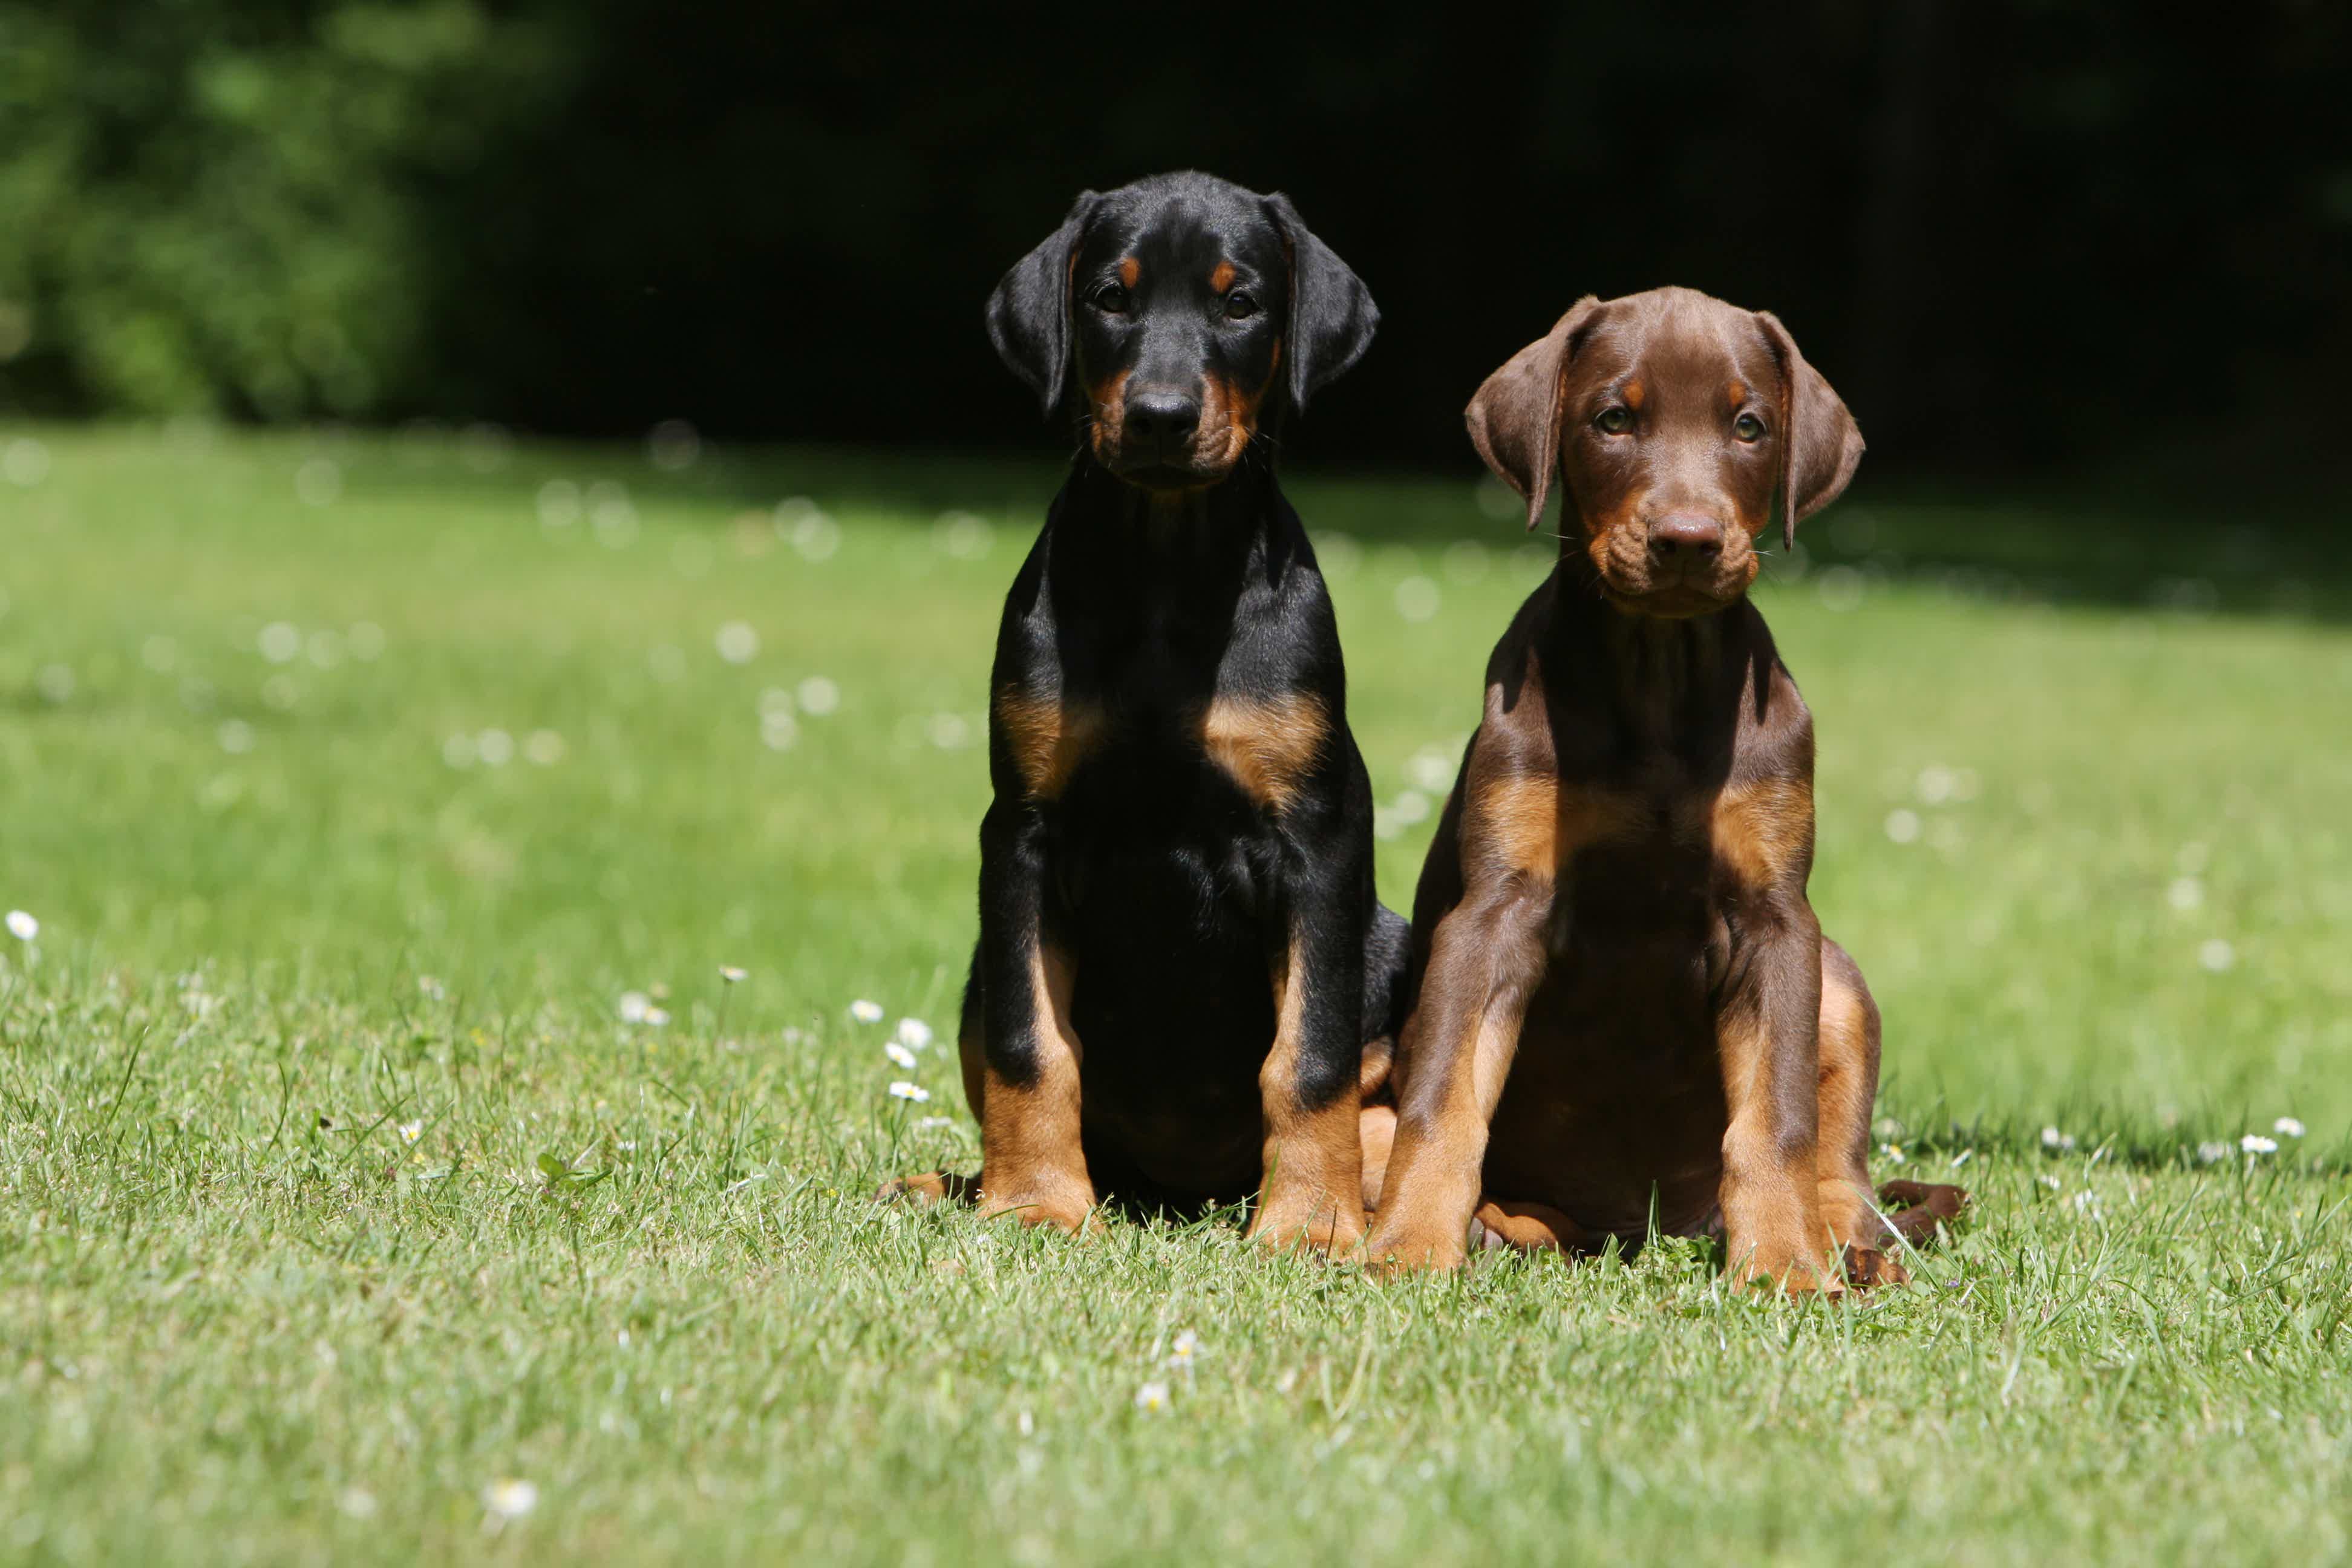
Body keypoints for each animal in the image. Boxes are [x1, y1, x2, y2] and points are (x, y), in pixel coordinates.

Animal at [880, 171, 1392, 1250]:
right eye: (1109, 298)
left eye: (1241, 304)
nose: (1160, 416)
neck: (1166, 572)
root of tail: (1183, 1194)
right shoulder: (1023, 834)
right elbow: (1030, 1045)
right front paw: (1035, 1201)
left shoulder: (1320, 838)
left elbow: (1312, 1053)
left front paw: (1313, 1224)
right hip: (975, 977)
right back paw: (953, 1185)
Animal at [1364, 288, 1966, 1298]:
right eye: (1614, 419)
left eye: (1749, 426)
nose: (1688, 540)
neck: (1654, 671)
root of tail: (1644, 1230)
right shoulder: (1493, 913)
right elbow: (1443, 1095)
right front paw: (1410, 1247)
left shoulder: (1776, 922)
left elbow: (1778, 1119)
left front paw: (1786, 1266)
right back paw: (1501, 1226)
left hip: (1837, 979)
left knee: (1845, 1168)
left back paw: (1848, 1246)